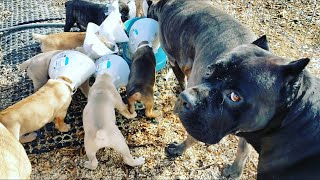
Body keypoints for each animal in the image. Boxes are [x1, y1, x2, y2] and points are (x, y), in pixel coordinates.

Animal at [148, 0, 320, 179]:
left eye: (235, 96)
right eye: (209, 70)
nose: (184, 99)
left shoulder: (174, 61)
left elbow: (182, 80)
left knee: (192, 136)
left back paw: (178, 148)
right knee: (243, 150)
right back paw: (235, 171)